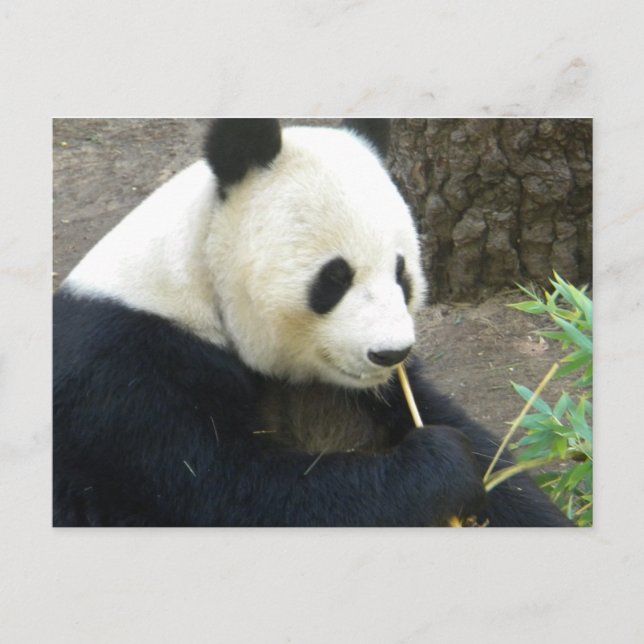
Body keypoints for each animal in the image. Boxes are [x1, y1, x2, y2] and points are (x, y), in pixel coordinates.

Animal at [53, 118, 570, 527]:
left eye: (402, 272)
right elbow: (244, 496)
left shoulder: (367, 394)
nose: (391, 353)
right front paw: (446, 463)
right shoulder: (126, 382)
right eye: (334, 278)